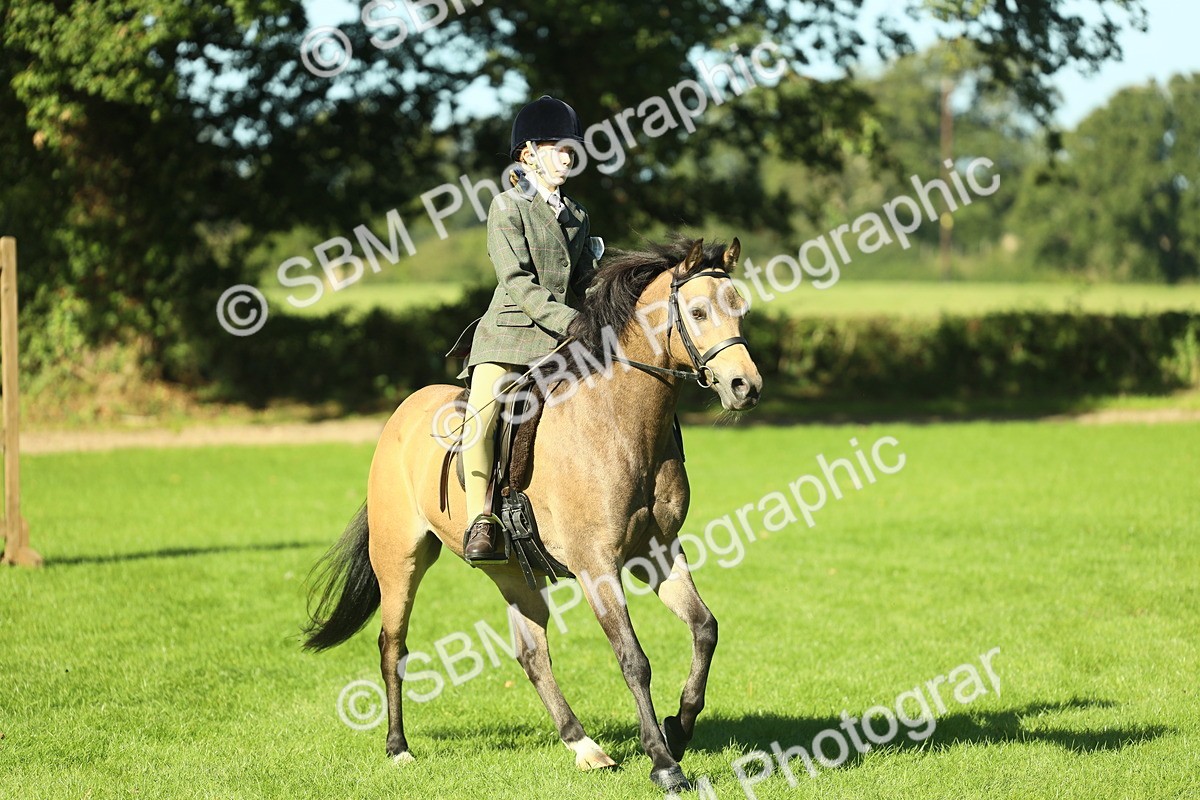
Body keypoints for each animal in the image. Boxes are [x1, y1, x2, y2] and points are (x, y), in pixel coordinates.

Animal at [303, 236, 762, 793]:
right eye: (696, 312)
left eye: (740, 308)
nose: (745, 387)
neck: (618, 421)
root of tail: (401, 415)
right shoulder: (596, 566)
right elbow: (633, 659)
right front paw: (664, 762)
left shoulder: (657, 552)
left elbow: (704, 628)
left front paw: (679, 726)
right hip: (400, 560)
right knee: (393, 646)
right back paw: (398, 748)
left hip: (511, 571)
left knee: (531, 653)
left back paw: (585, 747)